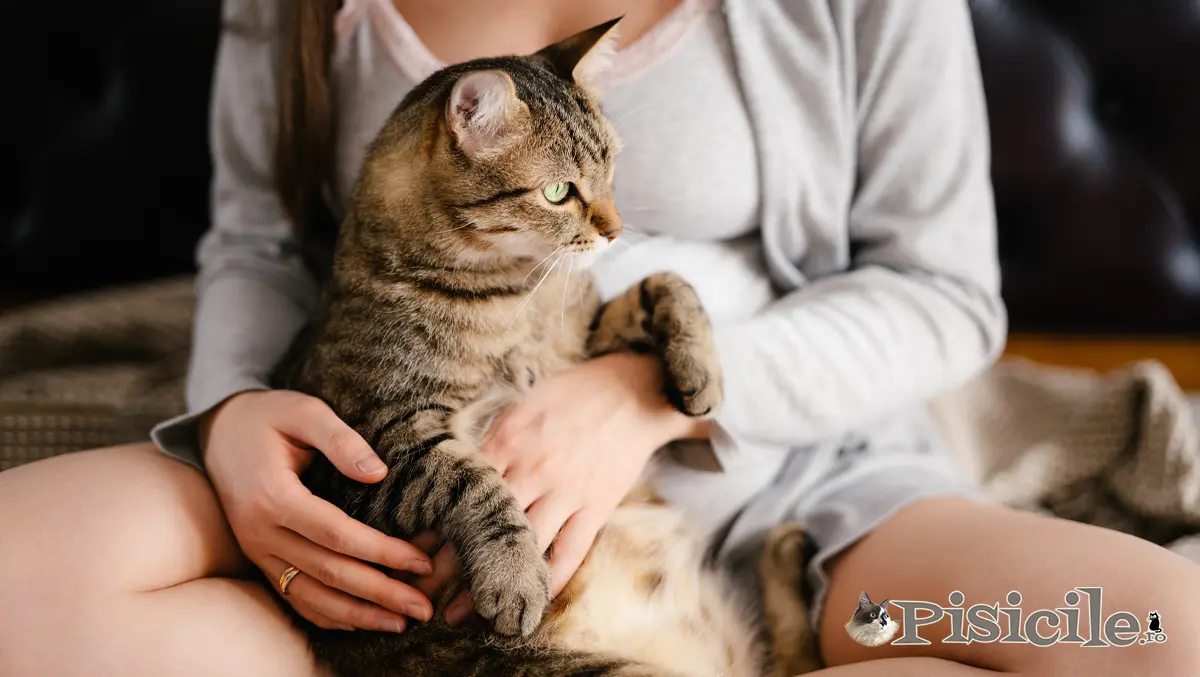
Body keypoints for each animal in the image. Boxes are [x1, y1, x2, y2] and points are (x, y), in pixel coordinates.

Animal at [273, 15, 820, 677]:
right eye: (559, 191)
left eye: (612, 170)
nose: (615, 229)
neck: (511, 293)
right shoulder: (371, 451)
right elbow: (472, 481)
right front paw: (516, 576)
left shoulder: (587, 341)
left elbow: (667, 282)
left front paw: (702, 372)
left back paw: (785, 548)